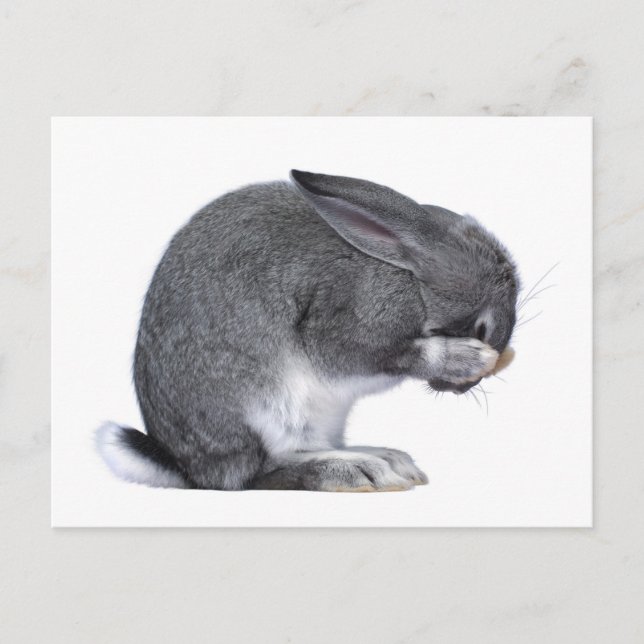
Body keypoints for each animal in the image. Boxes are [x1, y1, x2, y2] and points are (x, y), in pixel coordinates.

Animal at [96, 170, 519, 492]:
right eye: (482, 327)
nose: (460, 389)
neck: (408, 274)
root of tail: (186, 467)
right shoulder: (346, 325)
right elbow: (394, 353)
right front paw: (467, 358)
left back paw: (385, 459)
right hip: (269, 404)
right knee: (258, 473)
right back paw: (358, 471)